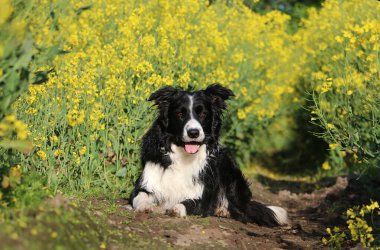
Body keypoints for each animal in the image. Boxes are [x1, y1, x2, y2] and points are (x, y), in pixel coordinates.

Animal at [131, 83, 288, 227]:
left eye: (203, 114)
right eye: (180, 114)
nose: (193, 133)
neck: (184, 156)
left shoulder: (203, 198)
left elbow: (187, 203)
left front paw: (176, 209)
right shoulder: (146, 183)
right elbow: (140, 197)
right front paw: (145, 206)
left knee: (242, 210)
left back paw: (224, 210)